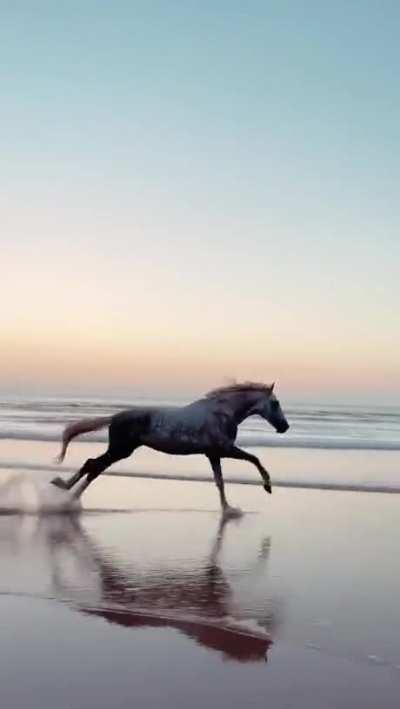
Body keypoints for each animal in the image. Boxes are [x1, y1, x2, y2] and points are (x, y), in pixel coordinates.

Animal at [51, 381, 289, 516]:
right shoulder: (225, 449)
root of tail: (114, 417)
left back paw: (67, 494)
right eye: (275, 403)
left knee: (94, 467)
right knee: (93, 465)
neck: (222, 414)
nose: (285, 427)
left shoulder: (213, 454)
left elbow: (220, 482)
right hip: (121, 450)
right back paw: (67, 496)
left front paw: (228, 509)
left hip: (121, 451)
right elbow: (254, 459)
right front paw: (267, 487)